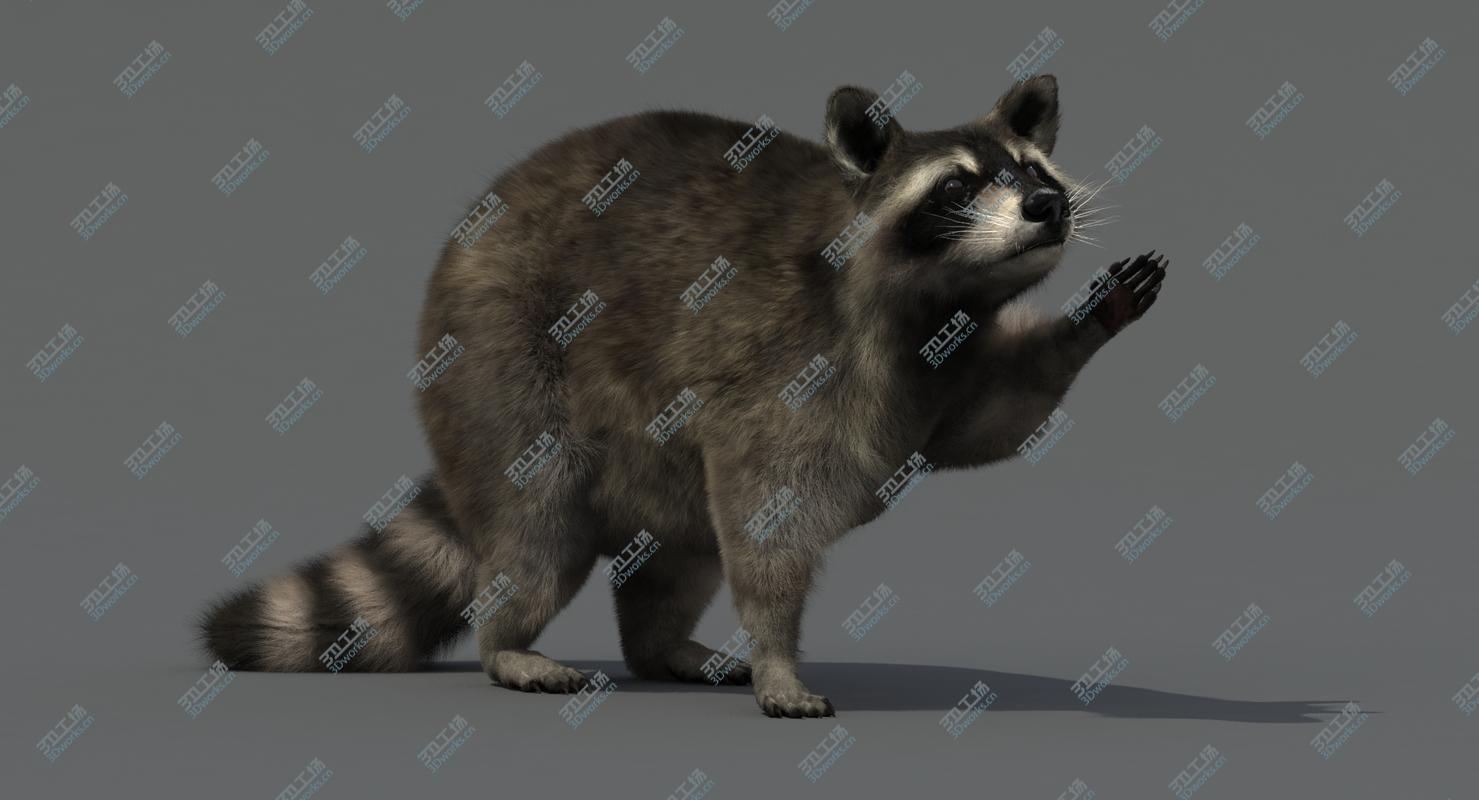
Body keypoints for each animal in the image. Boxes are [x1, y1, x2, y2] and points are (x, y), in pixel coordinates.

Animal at [201, 75, 1167, 718]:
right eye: (959, 185)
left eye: (1034, 169)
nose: (1046, 207)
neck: (935, 303)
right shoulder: (785, 358)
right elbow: (768, 513)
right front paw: (778, 654)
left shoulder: (943, 363)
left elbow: (991, 421)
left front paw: (1092, 318)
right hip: (497, 352)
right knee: (537, 521)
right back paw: (507, 642)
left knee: (681, 547)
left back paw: (659, 644)